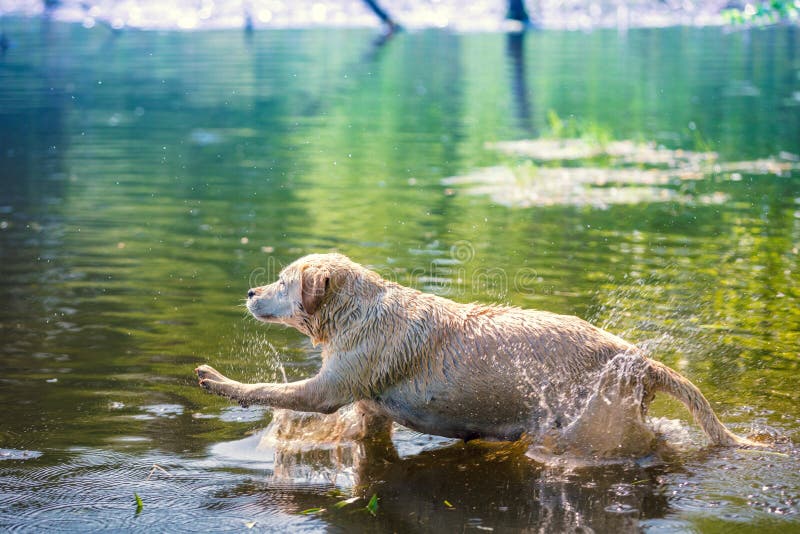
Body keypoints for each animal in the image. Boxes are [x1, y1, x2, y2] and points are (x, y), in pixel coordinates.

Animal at [195, 255, 756, 460]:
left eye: (282, 282)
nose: (250, 291)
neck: (356, 312)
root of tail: (641, 361)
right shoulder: (371, 410)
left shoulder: (328, 390)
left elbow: (268, 391)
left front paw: (217, 380)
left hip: (592, 417)